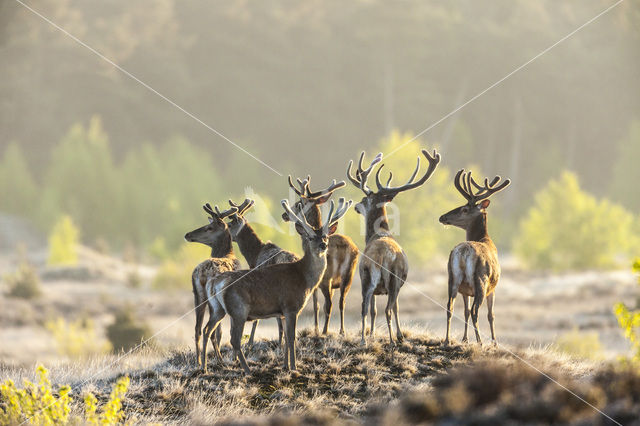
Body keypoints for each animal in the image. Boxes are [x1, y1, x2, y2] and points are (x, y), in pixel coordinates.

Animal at [184, 203, 241, 366]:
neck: (228, 254)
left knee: (197, 328)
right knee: (210, 330)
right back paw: (218, 359)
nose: (187, 234)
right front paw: (234, 358)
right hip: (212, 298)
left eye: (209, 227)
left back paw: (198, 361)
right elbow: (229, 329)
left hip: (198, 295)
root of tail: (201, 273)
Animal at [202, 198, 352, 372]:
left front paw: (285, 365)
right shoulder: (291, 306)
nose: (323, 245)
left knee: (206, 330)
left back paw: (204, 367)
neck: (304, 278)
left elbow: (286, 337)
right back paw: (247, 370)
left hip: (217, 308)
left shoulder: (282, 312)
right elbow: (292, 337)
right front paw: (294, 367)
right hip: (239, 309)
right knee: (234, 339)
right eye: (310, 237)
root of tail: (214, 282)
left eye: (326, 236)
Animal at [284, 176, 360, 336]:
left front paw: (316, 329)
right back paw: (342, 330)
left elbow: (316, 305)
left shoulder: (316, 281)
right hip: (349, 275)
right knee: (342, 302)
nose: (284, 215)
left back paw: (325, 331)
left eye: (298, 203)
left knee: (330, 304)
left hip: (327, 278)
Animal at [440, 170, 510, 346]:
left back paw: (447, 340)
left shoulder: (465, 290)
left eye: (464, 209)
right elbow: (491, 315)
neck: (484, 239)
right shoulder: (493, 288)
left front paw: (464, 339)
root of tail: (464, 251)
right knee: (475, 311)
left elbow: (464, 311)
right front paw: (494, 342)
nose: (442, 217)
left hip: (453, 278)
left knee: (450, 307)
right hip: (481, 280)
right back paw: (480, 342)